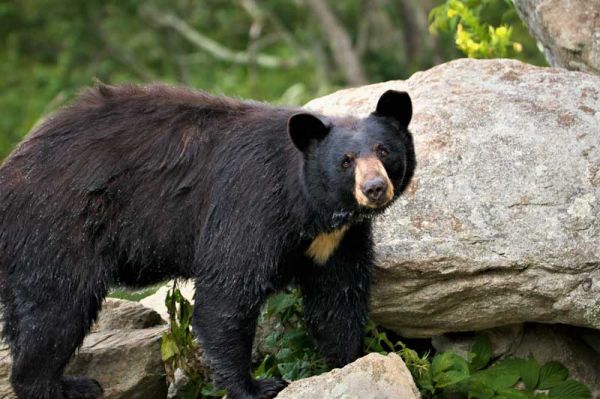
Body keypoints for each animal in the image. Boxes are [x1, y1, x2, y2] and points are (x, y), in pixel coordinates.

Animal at [0, 83, 412, 396]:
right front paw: (255, 386)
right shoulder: (250, 205)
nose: (375, 189)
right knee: (59, 308)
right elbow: (227, 294)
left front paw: (349, 360)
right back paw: (63, 385)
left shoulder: (338, 239)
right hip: (59, 227)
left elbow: (338, 297)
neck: (311, 208)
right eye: (345, 161)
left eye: (384, 150)